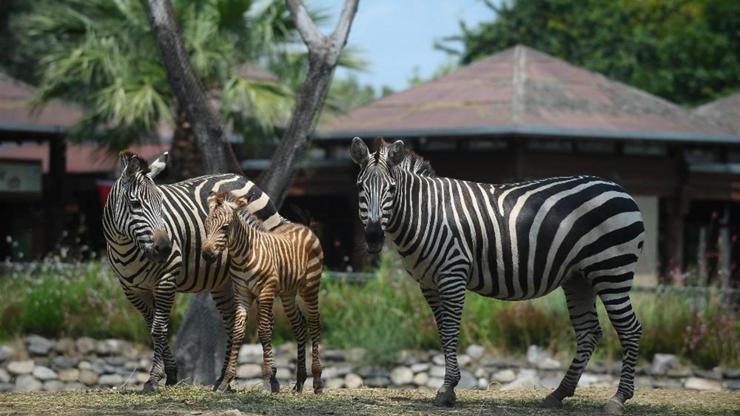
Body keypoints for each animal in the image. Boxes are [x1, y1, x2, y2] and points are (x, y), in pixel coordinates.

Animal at [103, 151, 286, 392]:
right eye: (135, 203)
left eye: (161, 203)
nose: (165, 248)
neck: (126, 245)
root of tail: (240, 177)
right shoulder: (132, 290)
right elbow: (153, 328)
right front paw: (171, 374)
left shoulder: (166, 279)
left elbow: (158, 329)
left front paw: (154, 378)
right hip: (223, 282)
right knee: (232, 322)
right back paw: (222, 380)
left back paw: (269, 376)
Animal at [201, 191, 326, 394]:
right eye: (206, 225)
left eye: (225, 227)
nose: (206, 255)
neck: (243, 256)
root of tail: (302, 226)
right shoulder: (242, 293)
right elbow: (237, 332)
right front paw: (226, 380)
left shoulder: (266, 291)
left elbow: (265, 331)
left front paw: (268, 380)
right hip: (287, 293)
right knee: (299, 325)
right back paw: (299, 382)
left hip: (310, 286)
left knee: (314, 323)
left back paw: (317, 382)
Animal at [350, 138, 644, 414]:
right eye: (360, 188)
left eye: (391, 189)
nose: (374, 237)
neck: (424, 214)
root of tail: (618, 188)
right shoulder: (428, 283)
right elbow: (442, 332)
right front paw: (448, 387)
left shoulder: (453, 274)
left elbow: (451, 330)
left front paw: (447, 389)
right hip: (579, 279)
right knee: (588, 332)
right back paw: (558, 393)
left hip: (612, 271)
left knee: (630, 330)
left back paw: (618, 398)